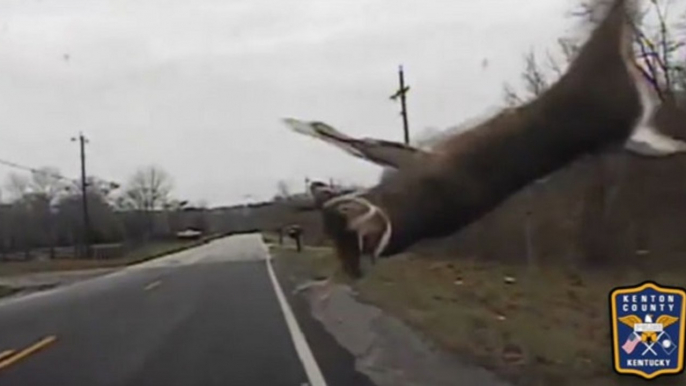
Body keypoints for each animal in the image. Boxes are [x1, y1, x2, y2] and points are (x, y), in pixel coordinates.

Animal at [284, 0, 686, 278]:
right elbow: (364, 145)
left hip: (599, 63)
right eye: (337, 245)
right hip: (624, 127)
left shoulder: (420, 159)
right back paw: (671, 142)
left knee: (615, 19)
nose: (353, 274)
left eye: (344, 230)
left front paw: (299, 123)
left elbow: (358, 143)